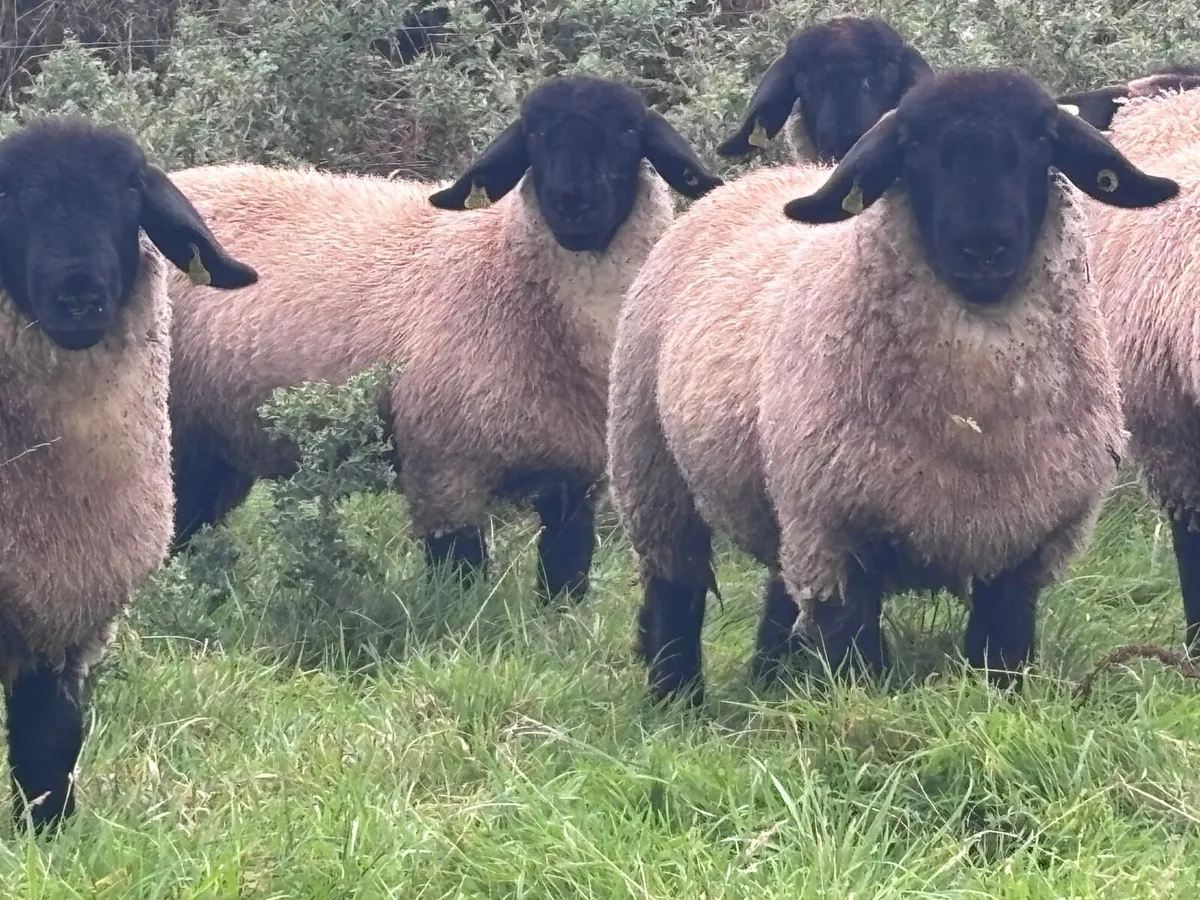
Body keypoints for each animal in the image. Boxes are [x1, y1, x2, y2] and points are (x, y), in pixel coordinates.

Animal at [0, 118, 257, 830]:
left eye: (130, 195)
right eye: (10, 198)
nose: (80, 298)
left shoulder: (64, 612)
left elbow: (49, 740)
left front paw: (48, 834)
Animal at [166, 75, 721, 605]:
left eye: (629, 132)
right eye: (535, 135)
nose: (573, 204)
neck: (503, 263)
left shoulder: (576, 478)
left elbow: (566, 572)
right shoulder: (444, 465)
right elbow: (460, 572)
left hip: (220, 439)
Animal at [606, 68, 1180, 703]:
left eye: (1042, 139)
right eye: (914, 148)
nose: (983, 249)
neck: (977, 427)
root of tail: (750, 182)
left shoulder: (1026, 545)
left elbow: (1001, 652)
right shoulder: (837, 539)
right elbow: (856, 660)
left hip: (784, 496)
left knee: (780, 584)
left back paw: (769, 676)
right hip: (651, 463)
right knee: (675, 587)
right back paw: (676, 698)